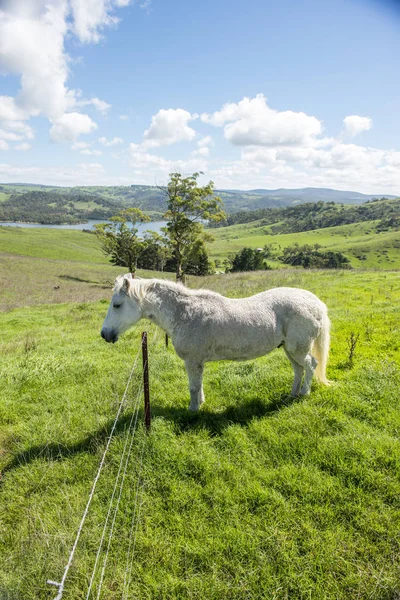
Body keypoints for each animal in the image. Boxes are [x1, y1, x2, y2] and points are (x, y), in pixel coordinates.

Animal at [101, 276, 332, 412]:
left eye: (117, 305)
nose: (105, 334)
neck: (184, 313)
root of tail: (317, 303)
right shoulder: (198, 362)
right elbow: (199, 384)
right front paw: (201, 403)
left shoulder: (192, 361)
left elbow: (193, 386)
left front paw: (193, 410)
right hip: (289, 349)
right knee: (298, 369)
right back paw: (292, 394)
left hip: (298, 349)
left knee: (311, 364)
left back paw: (304, 394)